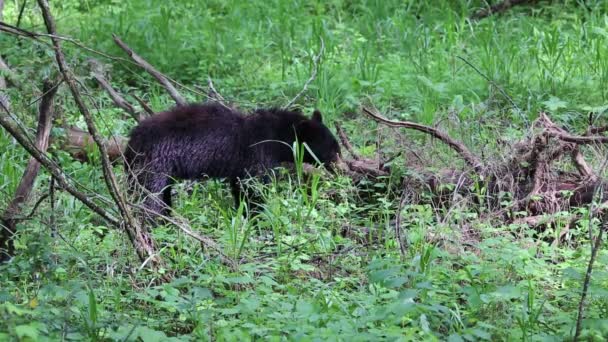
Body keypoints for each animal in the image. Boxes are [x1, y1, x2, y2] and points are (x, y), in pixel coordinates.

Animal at [123, 102, 342, 216]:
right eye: (332, 149)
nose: (341, 167)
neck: (278, 136)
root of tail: (131, 142)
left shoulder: (241, 165)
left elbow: (239, 186)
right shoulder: (258, 154)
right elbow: (253, 187)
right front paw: (256, 215)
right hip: (153, 163)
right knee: (150, 196)